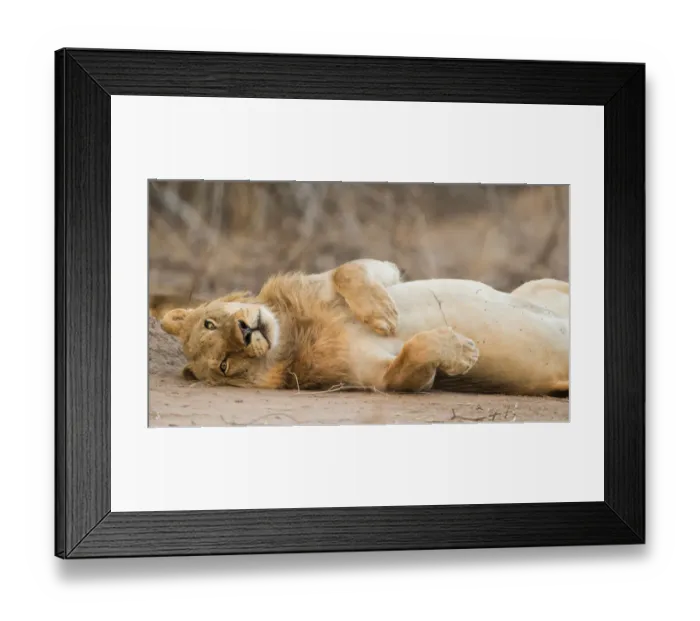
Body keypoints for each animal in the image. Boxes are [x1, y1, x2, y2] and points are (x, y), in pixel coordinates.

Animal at [161, 259, 569, 396]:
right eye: (224, 365)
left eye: (211, 322)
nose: (245, 333)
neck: (292, 332)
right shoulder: (375, 375)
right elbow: (409, 358)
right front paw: (462, 351)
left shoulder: (378, 271)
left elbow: (349, 269)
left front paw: (383, 315)